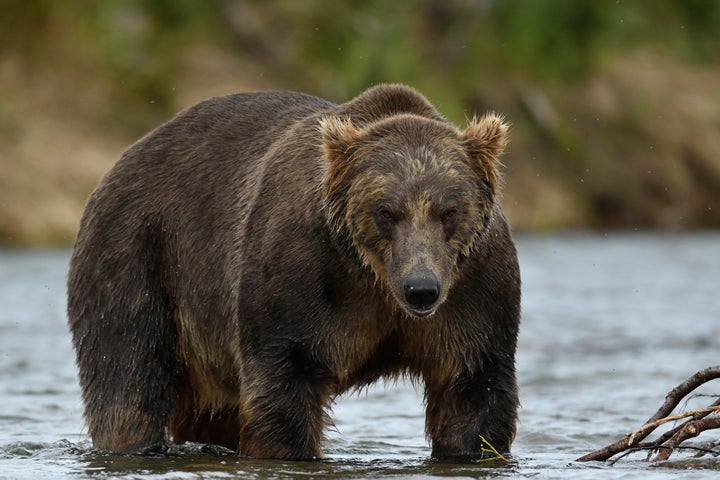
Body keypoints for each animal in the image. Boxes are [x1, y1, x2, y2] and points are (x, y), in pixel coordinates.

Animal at [66, 83, 516, 462]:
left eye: (449, 211)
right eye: (386, 211)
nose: (421, 289)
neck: (372, 280)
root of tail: (125, 157)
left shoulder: (474, 294)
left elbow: (473, 391)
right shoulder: (300, 276)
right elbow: (284, 386)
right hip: (138, 255)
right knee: (128, 378)